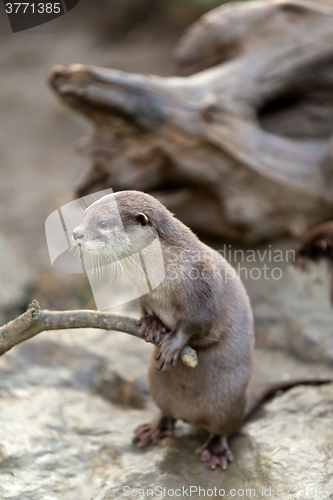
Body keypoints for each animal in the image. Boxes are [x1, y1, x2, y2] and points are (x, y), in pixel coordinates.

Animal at [72, 190, 330, 468]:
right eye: (84, 215)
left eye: (103, 223)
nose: (76, 233)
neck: (163, 276)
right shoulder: (144, 294)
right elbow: (146, 310)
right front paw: (152, 324)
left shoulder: (205, 289)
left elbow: (197, 322)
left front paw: (172, 344)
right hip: (157, 386)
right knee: (167, 413)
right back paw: (155, 428)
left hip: (228, 402)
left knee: (223, 428)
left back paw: (215, 450)